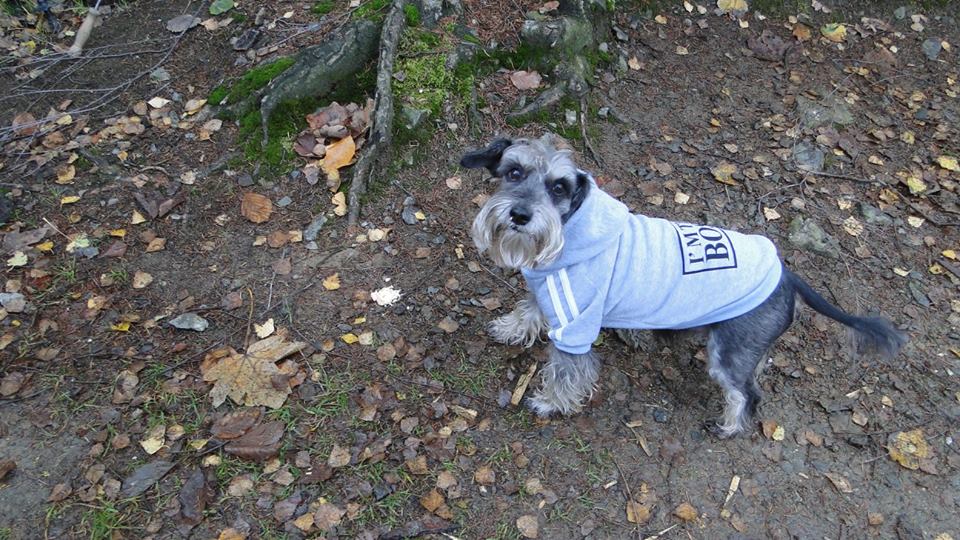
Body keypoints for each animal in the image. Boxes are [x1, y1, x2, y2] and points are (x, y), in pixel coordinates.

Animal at [460, 135, 907, 437]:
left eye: (558, 187)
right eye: (513, 172)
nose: (520, 214)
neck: (567, 238)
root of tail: (786, 275)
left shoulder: (576, 327)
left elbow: (567, 372)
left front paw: (550, 402)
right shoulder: (549, 294)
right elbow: (529, 310)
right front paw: (510, 328)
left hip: (728, 355)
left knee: (747, 395)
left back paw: (729, 426)